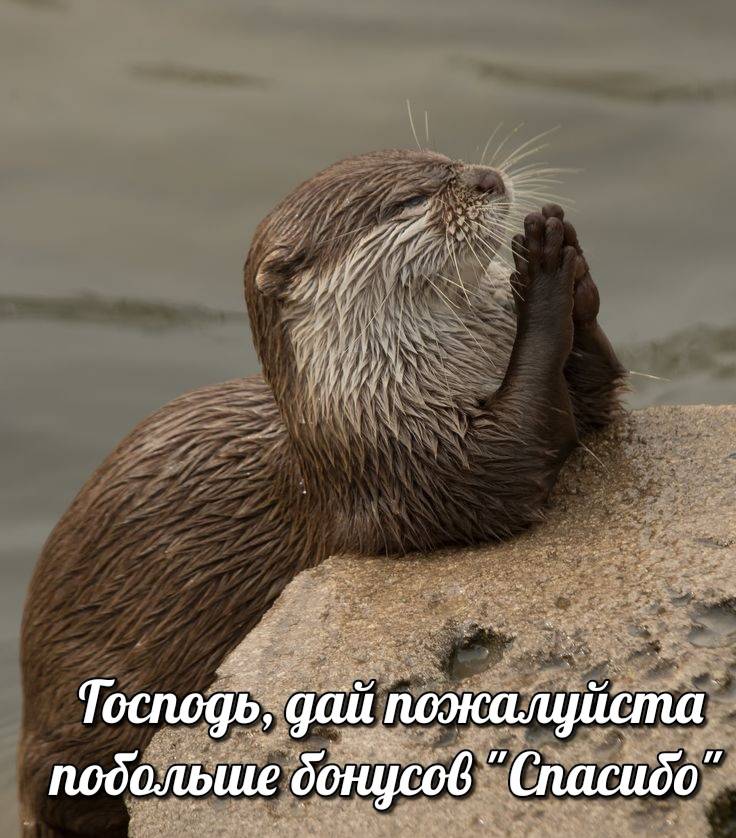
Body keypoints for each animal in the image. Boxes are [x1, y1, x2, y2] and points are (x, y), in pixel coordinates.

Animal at [19, 148, 625, 836]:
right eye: (409, 200)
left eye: (446, 159)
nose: (486, 179)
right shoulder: (415, 462)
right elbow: (525, 448)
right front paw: (546, 271)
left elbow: (592, 394)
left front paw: (567, 261)